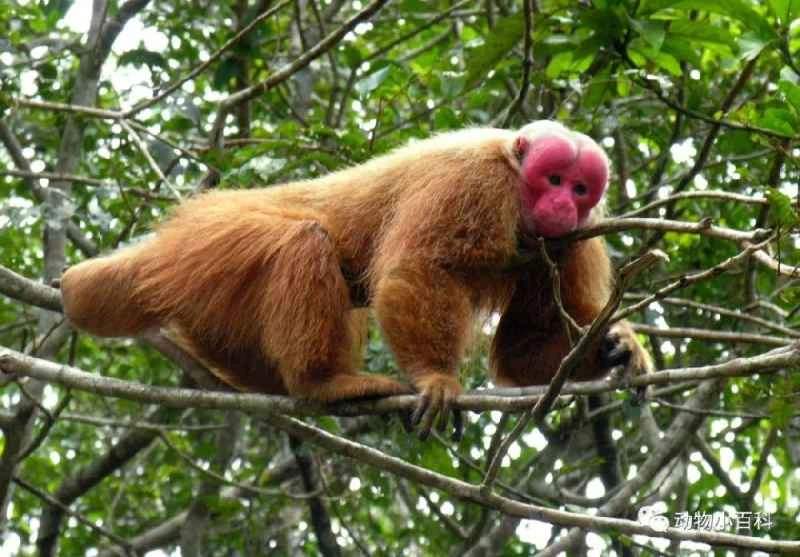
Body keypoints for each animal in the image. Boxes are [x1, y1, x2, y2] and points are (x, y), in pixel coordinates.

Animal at [60, 120, 652, 439]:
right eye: (552, 179)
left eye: (580, 188)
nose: (562, 205)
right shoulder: (470, 183)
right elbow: (416, 270)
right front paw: (437, 378)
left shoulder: (573, 242)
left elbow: (521, 350)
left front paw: (615, 346)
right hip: (215, 239)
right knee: (305, 241)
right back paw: (322, 381)